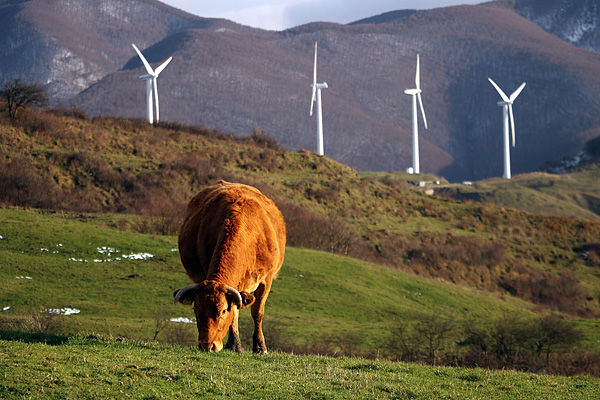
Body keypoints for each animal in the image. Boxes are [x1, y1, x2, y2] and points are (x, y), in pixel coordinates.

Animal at [173, 181, 286, 354]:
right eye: (195, 310)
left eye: (223, 311)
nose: (207, 345)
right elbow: (235, 314)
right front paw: (234, 345)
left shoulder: (266, 280)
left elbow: (257, 312)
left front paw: (260, 346)